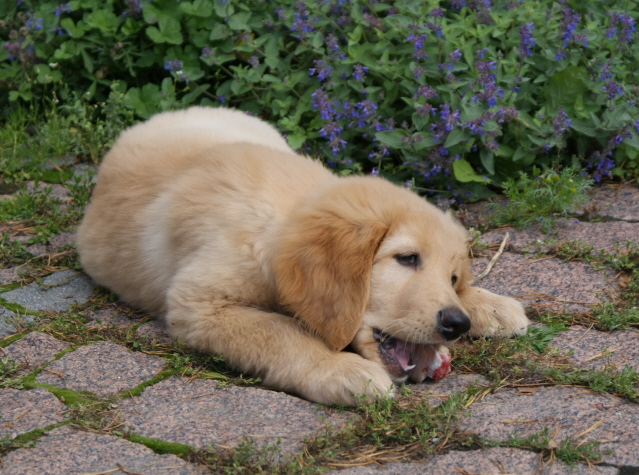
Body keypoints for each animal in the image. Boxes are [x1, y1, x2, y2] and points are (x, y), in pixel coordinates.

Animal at [76, 107, 528, 406]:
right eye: (407, 258)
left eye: (453, 278)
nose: (457, 323)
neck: (281, 217)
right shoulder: (200, 304)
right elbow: (282, 332)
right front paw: (341, 370)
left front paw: (485, 304)